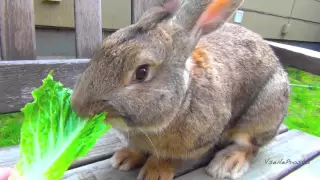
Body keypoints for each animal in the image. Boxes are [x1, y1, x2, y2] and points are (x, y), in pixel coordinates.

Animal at [71, 0, 292, 179]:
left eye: (142, 72)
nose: (78, 108)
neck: (183, 100)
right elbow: (138, 149)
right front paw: (125, 158)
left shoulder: (195, 144)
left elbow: (167, 158)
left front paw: (155, 174)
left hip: (261, 114)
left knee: (249, 145)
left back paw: (226, 164)